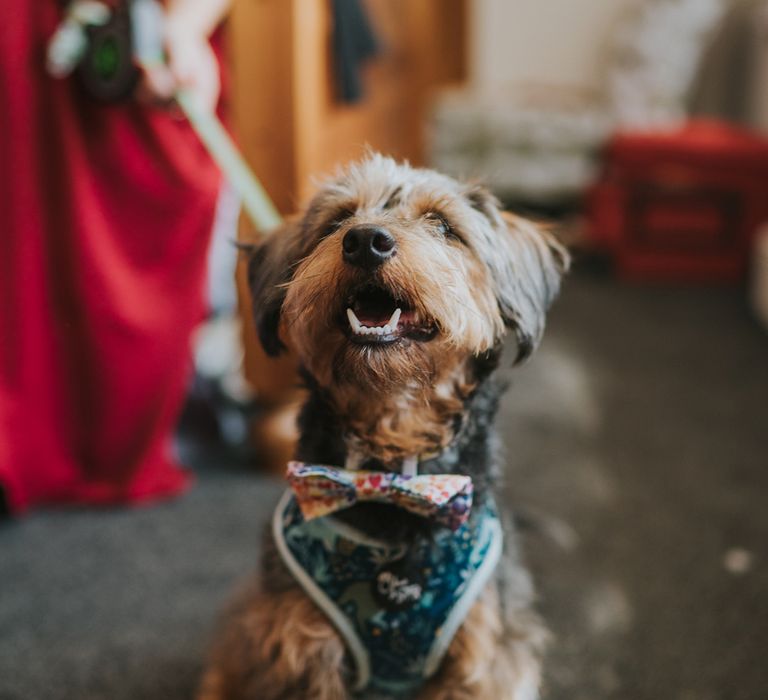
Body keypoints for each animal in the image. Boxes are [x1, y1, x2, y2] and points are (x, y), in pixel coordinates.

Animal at [198, 154, 568, 700]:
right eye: (337, 221)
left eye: (443, 225)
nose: (365, 239)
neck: (392, 471)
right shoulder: (299, 649)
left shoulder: (481, 659)